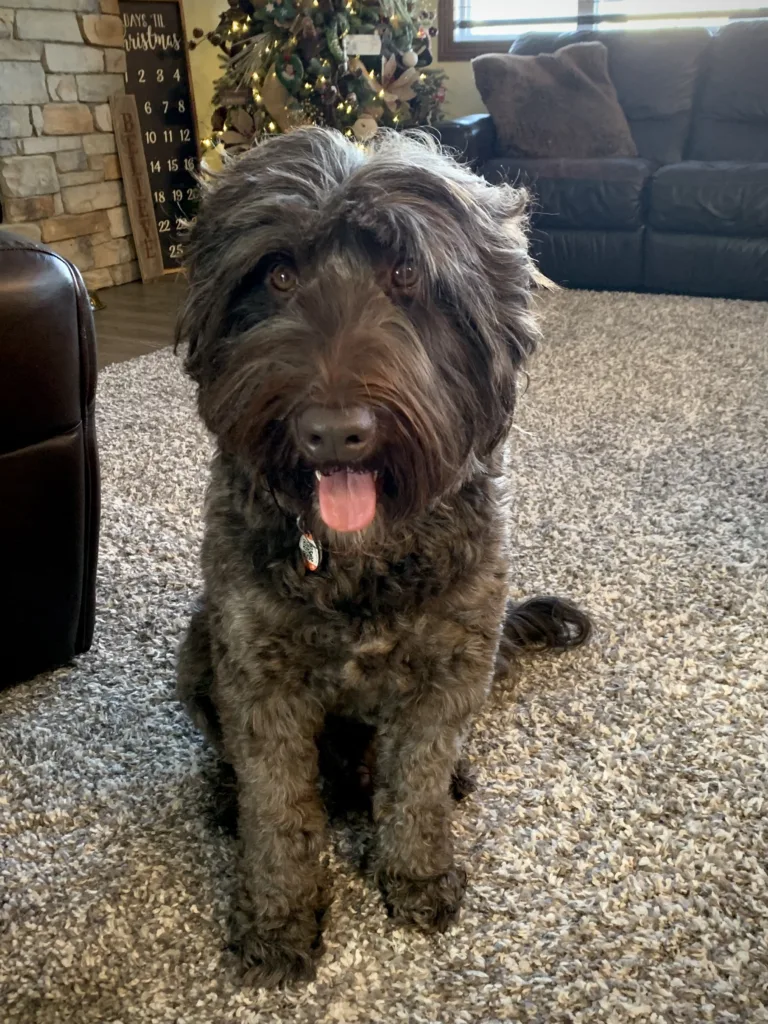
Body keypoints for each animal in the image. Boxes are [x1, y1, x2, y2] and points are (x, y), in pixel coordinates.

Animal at [177, 125, 593, 983]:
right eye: (277, 274)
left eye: (408, 275)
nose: (334, 432)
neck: (359, 557)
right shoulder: (259, 676)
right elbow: (278, 804)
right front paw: (278, 919)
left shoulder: (452, 665)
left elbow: (417, 782)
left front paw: (417, 875)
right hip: (199, 650)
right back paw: (225, 798)